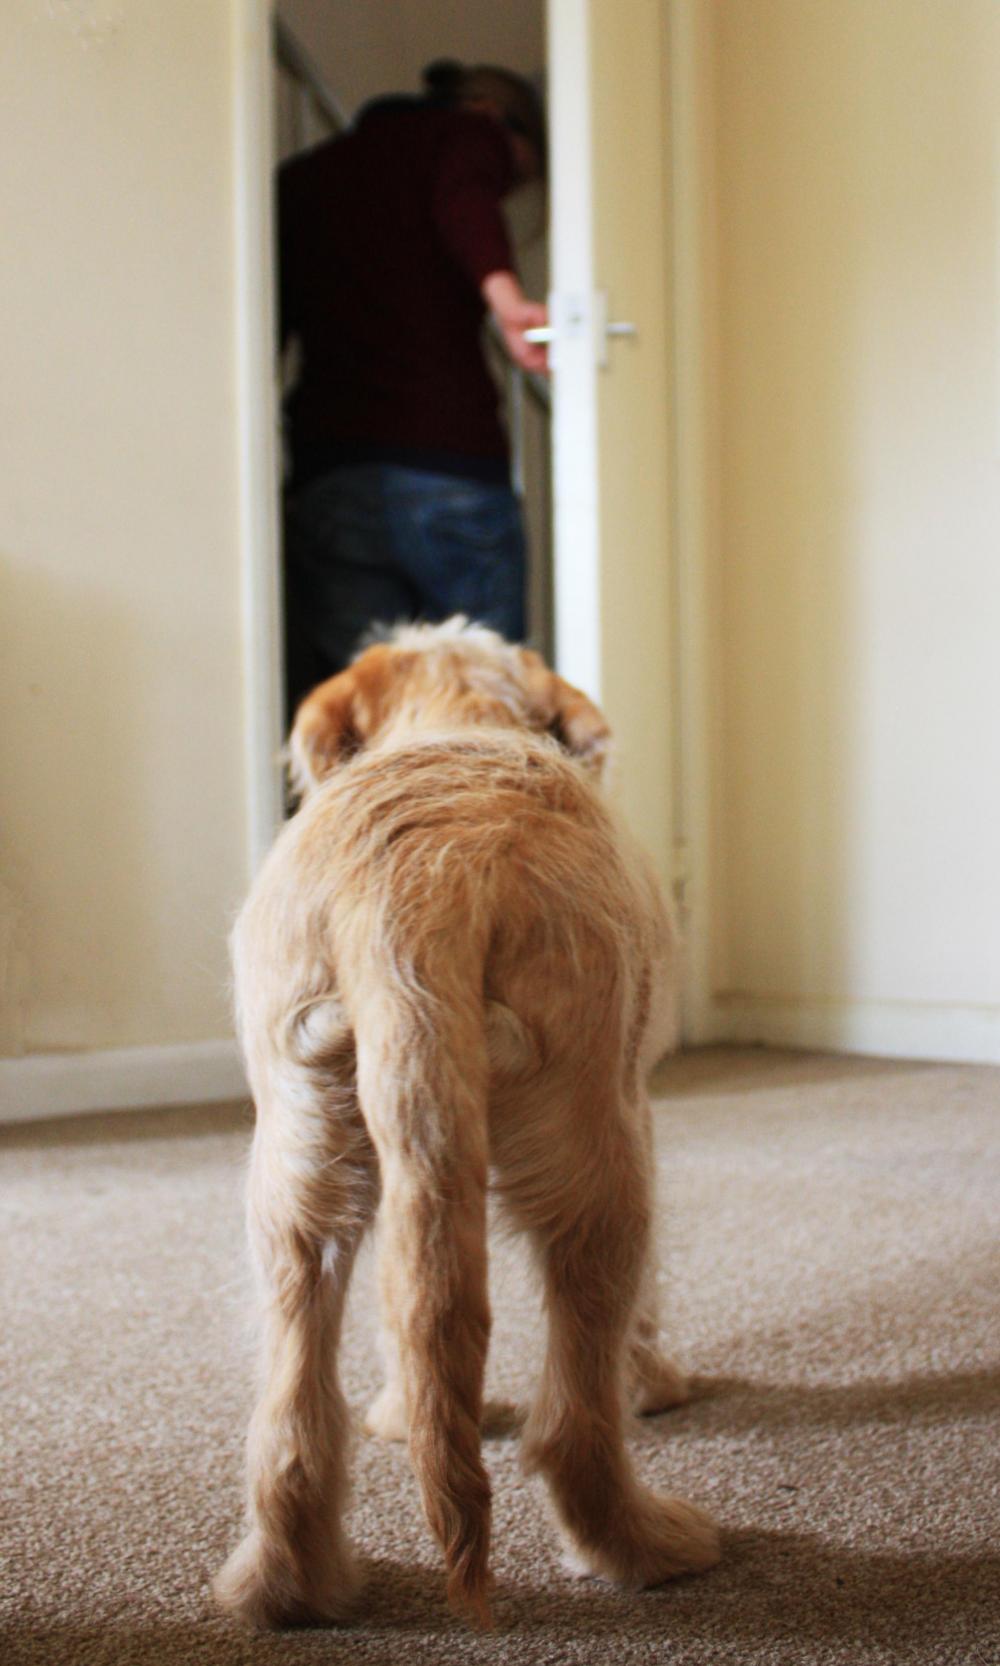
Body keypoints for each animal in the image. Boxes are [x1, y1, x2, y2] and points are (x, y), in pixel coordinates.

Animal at [216, 616, 720, 1626]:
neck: (454, 717)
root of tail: (414, 894)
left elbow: (403, 1311)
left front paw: (400, 1416)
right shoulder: (636, 1109)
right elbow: (644, 1309)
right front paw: (659, 1387)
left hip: (299, 1162)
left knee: (296, 1413)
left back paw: (290, 1585)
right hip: (597, 1167)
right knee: (573, 1417)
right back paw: (640, 1545)